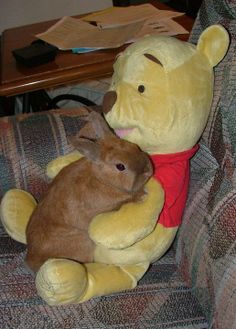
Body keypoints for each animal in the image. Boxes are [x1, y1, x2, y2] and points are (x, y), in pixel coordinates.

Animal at [25, 111, 153, 270]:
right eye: (120, 166)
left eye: (135, 147)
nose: (148, 171)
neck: (102, 179)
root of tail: (31, 259)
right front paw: (143, 195)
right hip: (84, 241)